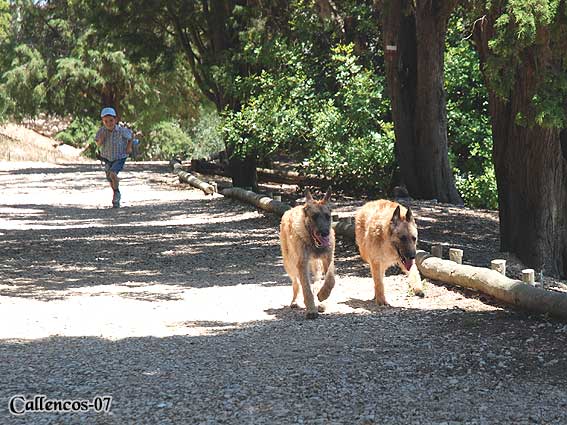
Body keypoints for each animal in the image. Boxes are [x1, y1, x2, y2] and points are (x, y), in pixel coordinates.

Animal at [280, 187, 338, 316]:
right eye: (314, 216)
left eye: (328, 216)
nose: (325, 233)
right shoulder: (302, 263)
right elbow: (306, 287)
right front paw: (311, 309)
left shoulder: (328, 259)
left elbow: (330, 279)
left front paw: (323, 296)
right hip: (290, 264)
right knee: (296, 283)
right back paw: (295, 301)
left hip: (315, 264)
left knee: (317, 279)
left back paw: (320, 297)